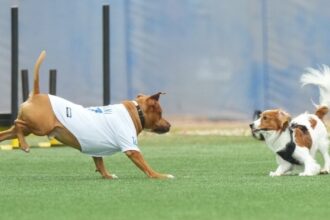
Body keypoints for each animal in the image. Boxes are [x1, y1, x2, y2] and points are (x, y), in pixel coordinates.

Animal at [0, 50, 174, 180]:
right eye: (160, 113)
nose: (170, 125)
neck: (136, 112)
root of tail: (37, 95)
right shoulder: (131, 147)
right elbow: (146, 167)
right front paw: (160, 176)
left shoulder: (96, 149)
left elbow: (100, 163)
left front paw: (107, 175)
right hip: (40, 127)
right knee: (17, 124)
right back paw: (24, 145)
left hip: (31, 127)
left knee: (9, 131)